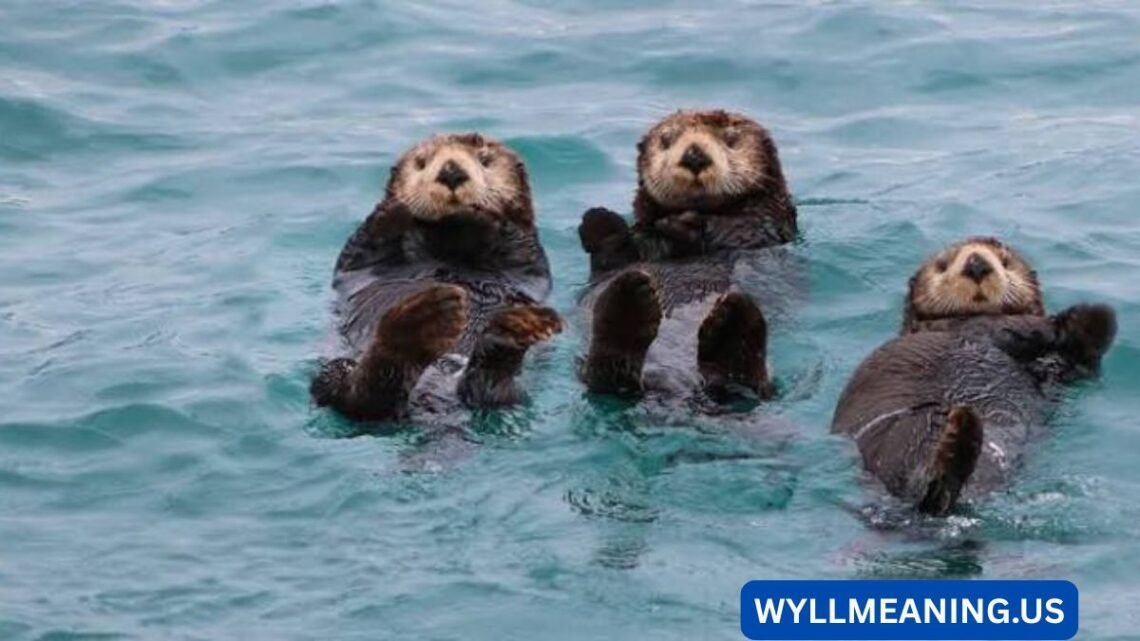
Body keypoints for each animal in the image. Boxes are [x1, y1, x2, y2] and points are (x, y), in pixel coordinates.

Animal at [311, 133, 561, 423]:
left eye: (485, 160)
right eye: (421, 162)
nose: (451, 172)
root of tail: (435, 396)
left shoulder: (529, 259)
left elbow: (518, 242)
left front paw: (485, 211)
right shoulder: (359, 260)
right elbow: (366, 243)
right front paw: (395, 208)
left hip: (514, 395)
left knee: (489, 393)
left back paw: (508, 333)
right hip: (333, 370)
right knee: (359, 397)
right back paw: (421, 323)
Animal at [576, 109, 797, 401]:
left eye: (730, 139)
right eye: (667, 139)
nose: (694, 155)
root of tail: (674, 386)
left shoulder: (763, 226)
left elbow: (738, 229)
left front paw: (683, 225)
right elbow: (615, 253)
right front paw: (598, 220)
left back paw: (731, 321)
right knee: (606, 376)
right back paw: (630, 298)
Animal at [831, 237, 1116, 515]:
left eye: (1005, 261)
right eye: (943, 265)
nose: (977, 264)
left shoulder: (1057, 372)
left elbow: (1080, 362)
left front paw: (1087, 320)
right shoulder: (964, 326)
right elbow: (1009, 327)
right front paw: (1065, 321)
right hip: (899, 441)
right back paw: (959, 434)